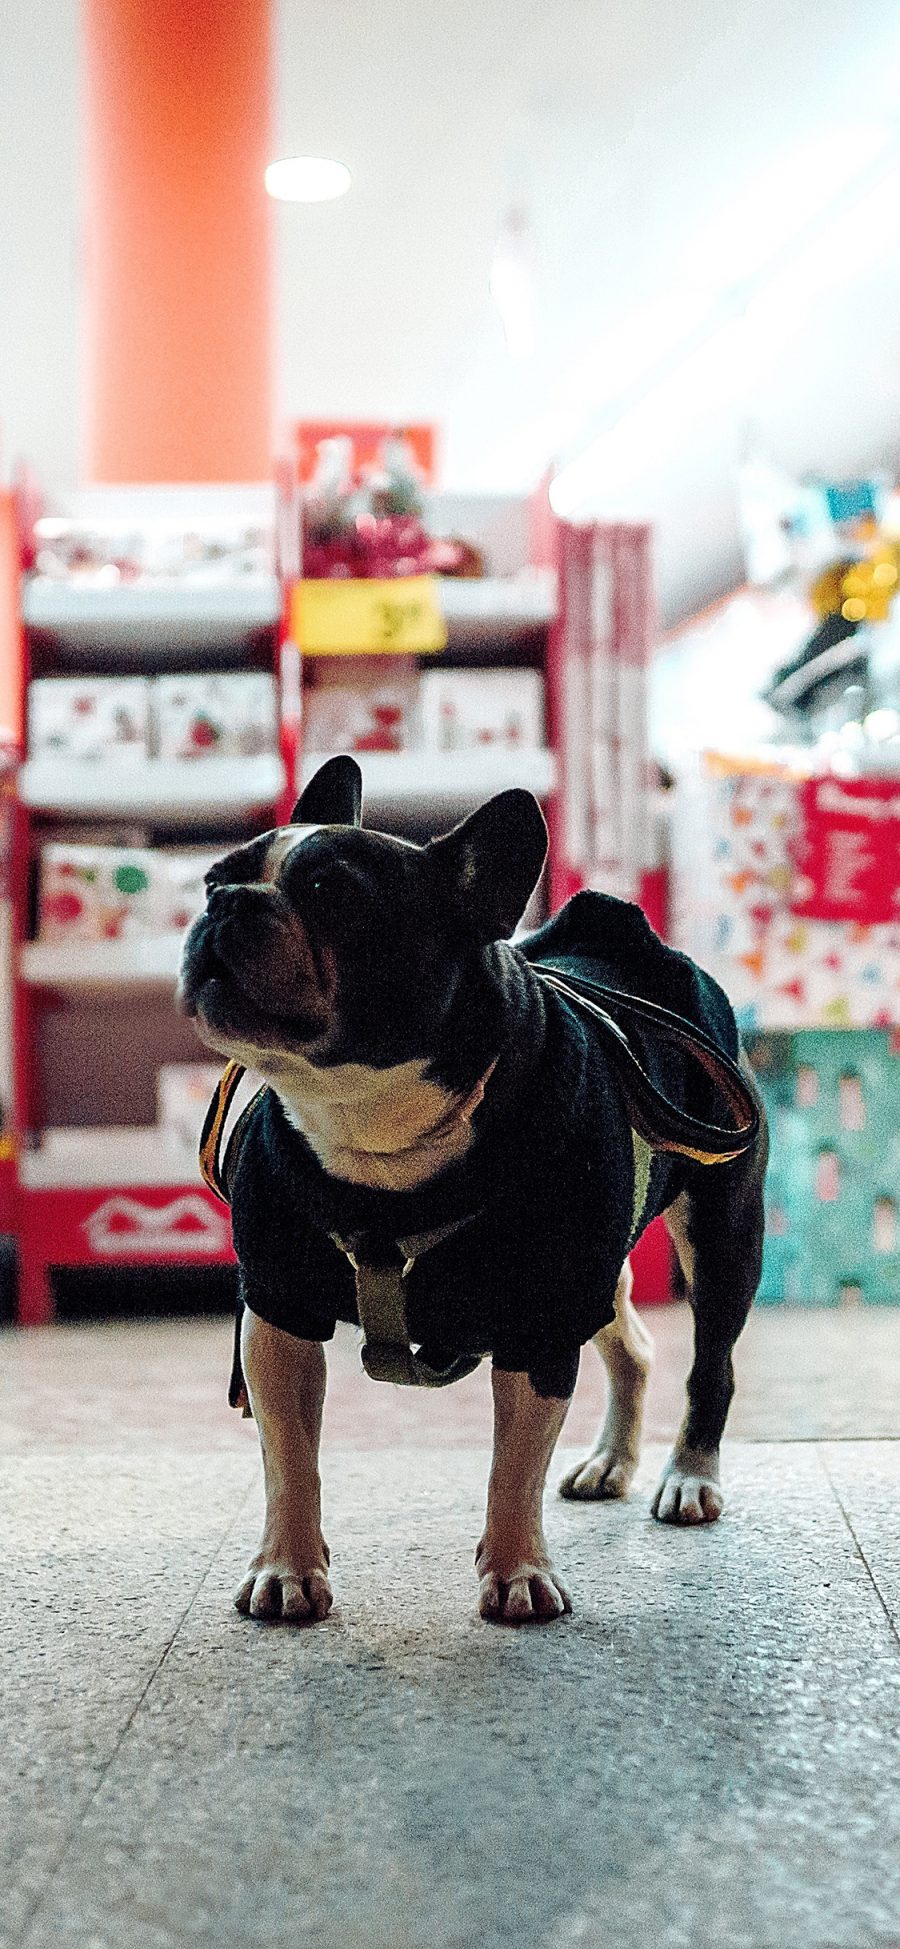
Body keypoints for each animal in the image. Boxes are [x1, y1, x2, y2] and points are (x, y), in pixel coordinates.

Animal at [177, 756, 767, 1629]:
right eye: (215, 876)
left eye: (333, 895)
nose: (227, 901)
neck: (370, 1119)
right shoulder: (278, 1314)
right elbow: (291, 1459)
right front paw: (286, 1567)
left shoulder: (541, 1323)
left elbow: (513, 1462)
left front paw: (519, 1570)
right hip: (599, 1272)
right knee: (633, 1347)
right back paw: (610, 1460)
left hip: (721, 1235)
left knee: (710, 1365)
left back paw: (690, 1473)